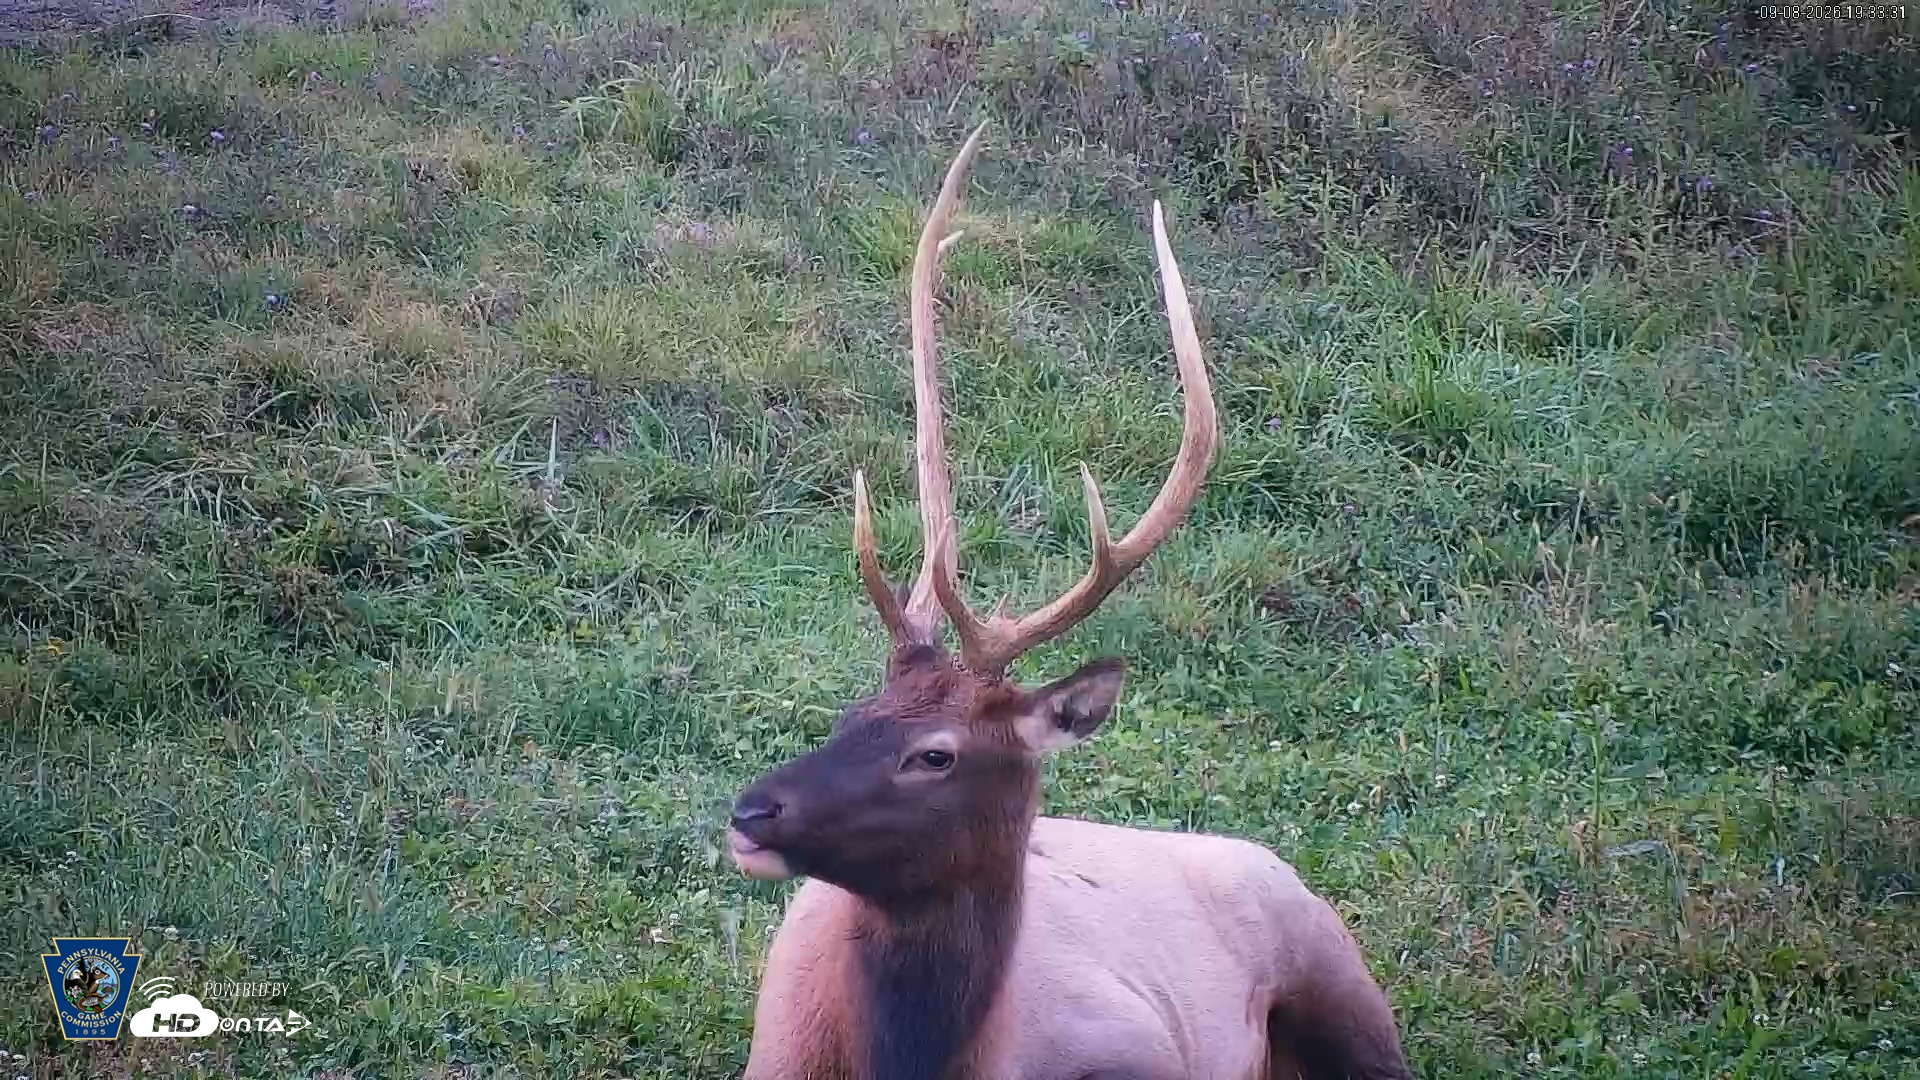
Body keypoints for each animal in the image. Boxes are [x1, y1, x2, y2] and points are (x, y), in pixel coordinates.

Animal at [725, 123, 1412, 1080]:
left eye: (935, 755)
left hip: (1337, 970)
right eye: (851, 713)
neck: (926, 1063)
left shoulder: (1140, 1046)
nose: (751, 810)